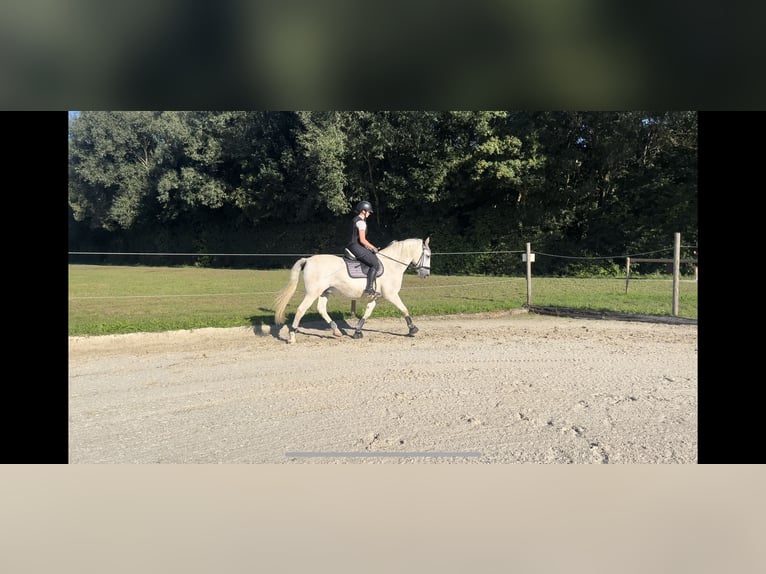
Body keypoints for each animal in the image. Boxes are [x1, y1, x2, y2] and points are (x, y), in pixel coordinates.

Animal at [276, 237, 432, 344]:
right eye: (428, 256)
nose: (426, 274)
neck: (391, 265)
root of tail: (308, 260)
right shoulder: (391, 295)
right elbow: (404, 309)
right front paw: (413, 329)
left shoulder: (375, 297)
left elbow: (367, 313)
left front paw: (357, 332)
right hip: (312, 293)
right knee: (301, 310)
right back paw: (292, 337)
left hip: (324, 292)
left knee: (321, 309)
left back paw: (336, 331)